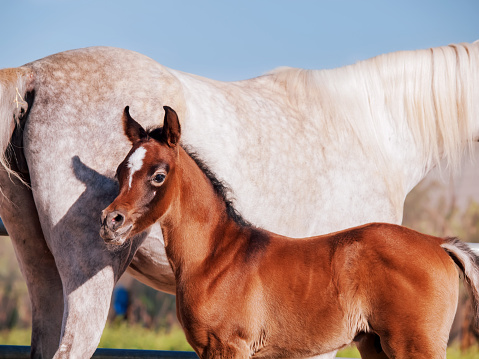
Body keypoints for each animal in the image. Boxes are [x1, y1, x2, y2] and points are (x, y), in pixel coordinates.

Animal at [99, 107, 478, 359]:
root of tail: (438, 243)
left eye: (158, 176)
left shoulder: (228, 346)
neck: (215, 257)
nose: (110, 221)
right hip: (376, 345)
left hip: (416, 346)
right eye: (121, 170)